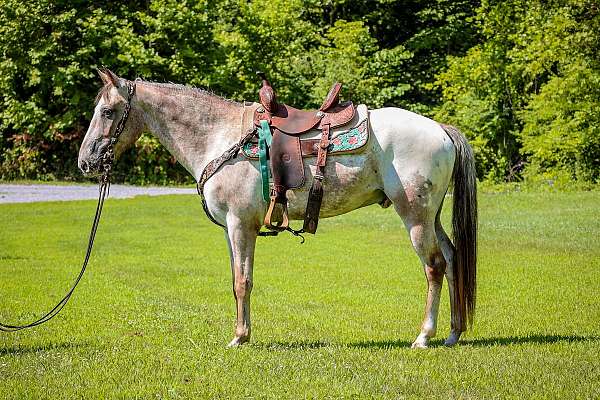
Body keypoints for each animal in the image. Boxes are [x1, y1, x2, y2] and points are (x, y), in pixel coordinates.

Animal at [78, 69, 478, 346]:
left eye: (108, 112)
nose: (86, 162)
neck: (218, 137)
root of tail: (440, 129)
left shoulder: (240, 224)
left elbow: (242, 282)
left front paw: (239, 337)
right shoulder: (236, 229)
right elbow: (239, 279)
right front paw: (243, 333)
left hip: (416, 217)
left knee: (434, 266)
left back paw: (424, 336)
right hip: (432, 218)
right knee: (453, 257)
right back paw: (453, 333)